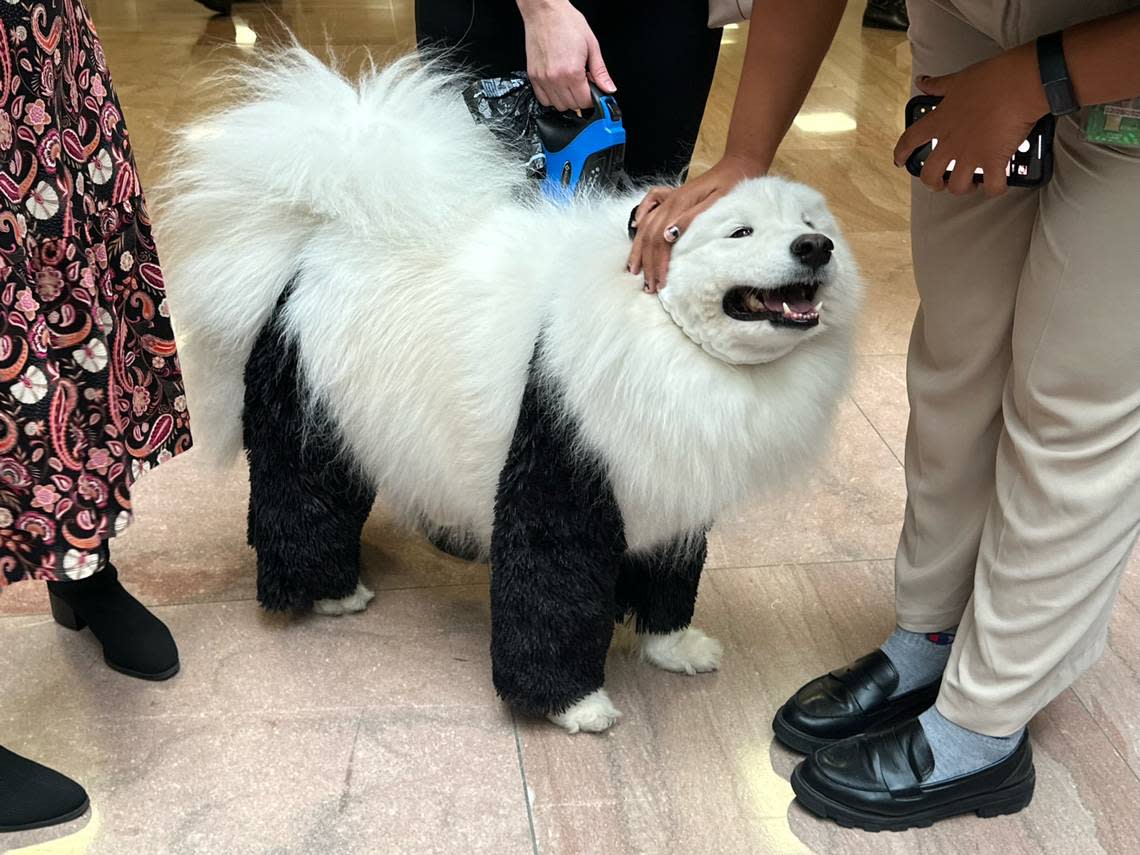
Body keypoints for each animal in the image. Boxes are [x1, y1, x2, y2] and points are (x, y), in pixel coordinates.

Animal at [156, 50, 857, 738]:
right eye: (739, 233)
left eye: (809, 222)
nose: (815, 247)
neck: (664, 335)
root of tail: (309, 242)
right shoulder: (562, 472)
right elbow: (553, 596)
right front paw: (573, 706)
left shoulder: (671, 490)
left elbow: (671, 580)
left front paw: (675, 649)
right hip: (308, 424)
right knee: (301, 504)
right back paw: (331, 593)